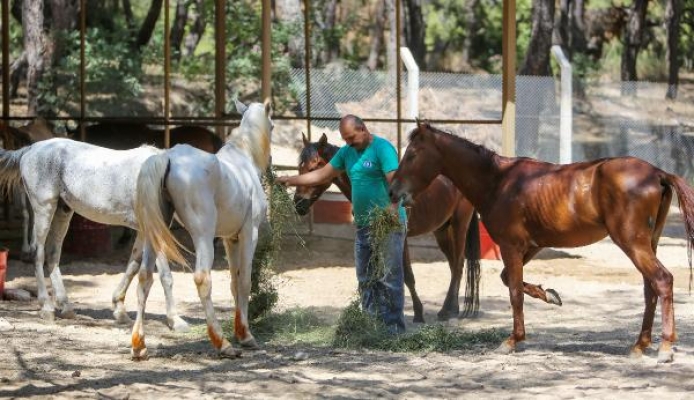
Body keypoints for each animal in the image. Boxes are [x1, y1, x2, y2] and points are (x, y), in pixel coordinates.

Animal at [0, 134, 189, 328]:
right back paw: (47, 308)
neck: (155, 176)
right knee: (38, 254)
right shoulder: (154, 233)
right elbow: (165, 275)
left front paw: (120, 311)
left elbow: (133, 266)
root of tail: (30, 149)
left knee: (52, 254)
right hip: (44, 209)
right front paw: (175, 320)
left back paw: (66, 308)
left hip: (63, 211)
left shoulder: (144, 233)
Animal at [135, 99, 274, 360]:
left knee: (144, 277)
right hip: (203, 237)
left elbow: (234, 283)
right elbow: (244, 282)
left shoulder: (230, 239)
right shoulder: (248, 234)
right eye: (272, 125)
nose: (270, 162)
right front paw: (246, 337)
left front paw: (240, 331)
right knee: (202, 278)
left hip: (154, 235)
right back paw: (223, 344)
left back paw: (139, 346)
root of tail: (168, 158)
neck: (243, 161)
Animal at [294, 133, 484, 324]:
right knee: (454, 266)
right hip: (442, 230)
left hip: (459, 226)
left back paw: (447, 311)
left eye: (313, 167)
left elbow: (407, 276)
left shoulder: (401, 239)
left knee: (458, 265)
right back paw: (453, 308)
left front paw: (418, 313)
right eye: (300, 168)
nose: (298, 204)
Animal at [388, 122, 694, 362]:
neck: (498, 180)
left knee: (662, 280)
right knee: (650, 289)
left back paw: (665, 347)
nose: (392, 191)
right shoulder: (531, 246)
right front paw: (550, 295)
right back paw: (640, 345)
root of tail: (657, 173)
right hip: (647, 244)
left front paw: (512, 340)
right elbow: (509, 280)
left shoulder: (511, 247)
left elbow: (513, 291)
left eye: (412, 154)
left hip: (633, 244)